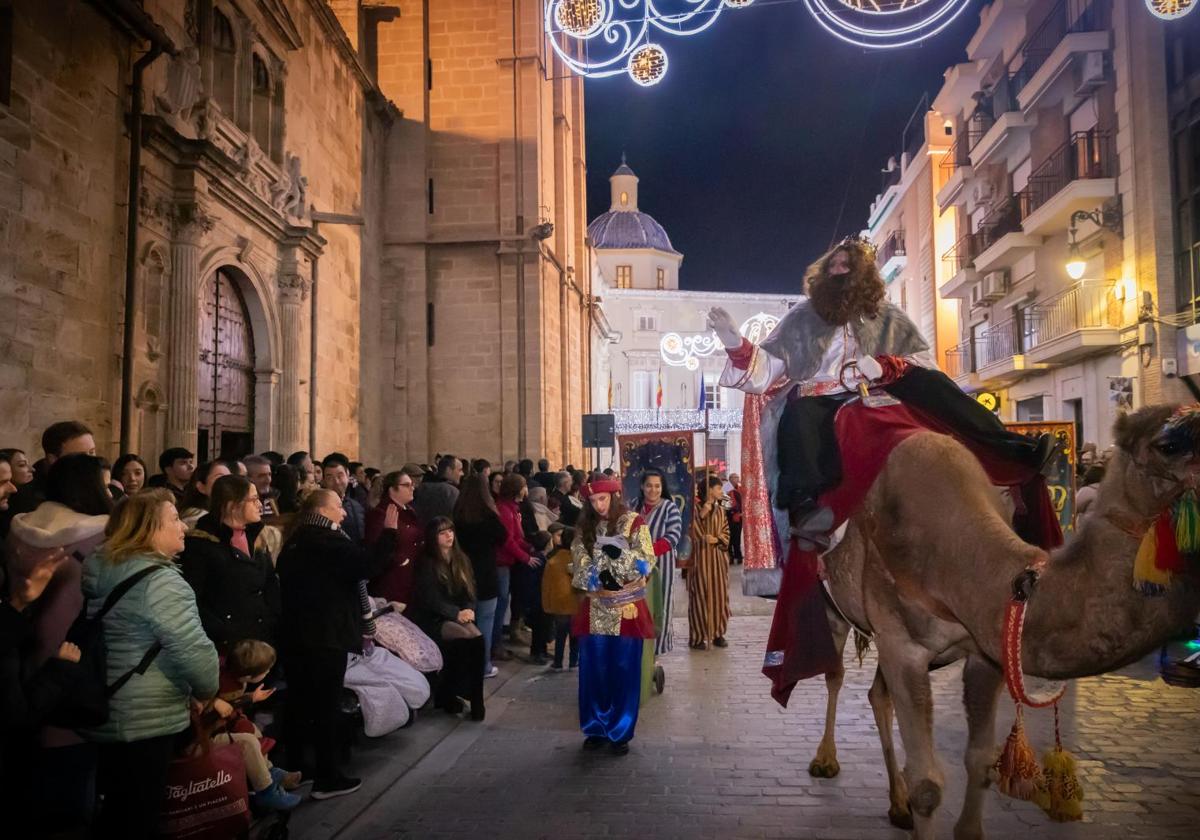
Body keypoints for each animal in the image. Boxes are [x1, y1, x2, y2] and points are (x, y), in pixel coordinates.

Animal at [796, 403, 1200, 835]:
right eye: (1168, 444)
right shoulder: (902, 645)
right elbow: (927, 785)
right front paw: (913, 797)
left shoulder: (985, 651)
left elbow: (981, 759)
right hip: (833, 609)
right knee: (836, 674)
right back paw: (825, 760)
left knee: (876, 694)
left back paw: (897, 805)